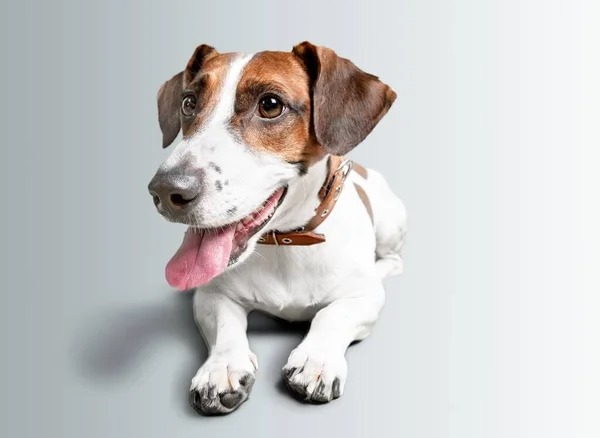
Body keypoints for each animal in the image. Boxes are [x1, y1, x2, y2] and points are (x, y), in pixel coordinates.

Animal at [147, 42, 406, 414]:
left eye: (270, 105)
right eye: (189, 102)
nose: (166, 191)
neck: (289, 242)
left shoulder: (363, 296)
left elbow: (333, 315)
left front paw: (316, 359)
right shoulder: (212, 294)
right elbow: (226, 325)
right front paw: (221, 367)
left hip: (390, 223)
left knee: (394, 259)